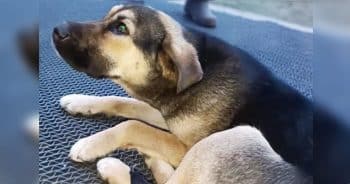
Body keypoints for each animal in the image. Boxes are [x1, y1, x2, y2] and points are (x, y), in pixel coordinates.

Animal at [51, 5, 312, 183]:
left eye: (121, 28)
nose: (57, 29)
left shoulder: (186, 147)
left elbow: (133, 125)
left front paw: (90, 144)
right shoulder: (171, 115)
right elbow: (124, 102)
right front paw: (80, 101)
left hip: (231, 140)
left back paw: (114, 167)